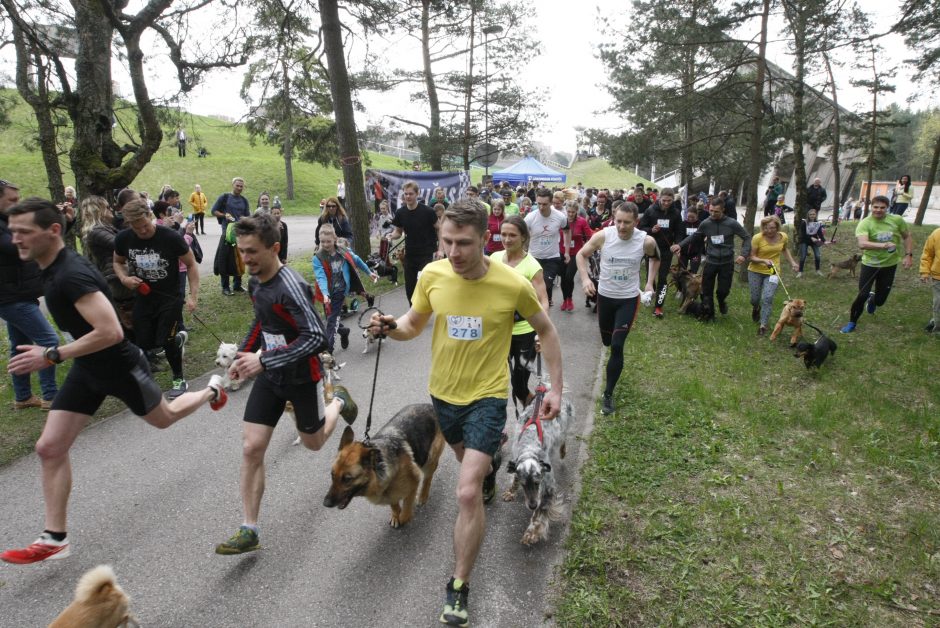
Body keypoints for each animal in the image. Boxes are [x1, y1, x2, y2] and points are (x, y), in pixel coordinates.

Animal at [500, 388, 572, 544]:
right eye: (523, 485)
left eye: (537, 483)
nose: (532, 505)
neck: (529, 448)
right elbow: (515, 478)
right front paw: (511, 492)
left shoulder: (548, 487)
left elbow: (541, 510)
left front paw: (532, 532)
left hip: (563, 425)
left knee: (563, 439)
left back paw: (563, 451)